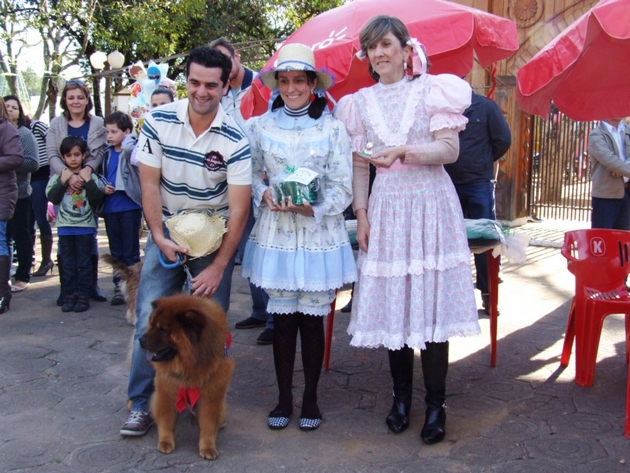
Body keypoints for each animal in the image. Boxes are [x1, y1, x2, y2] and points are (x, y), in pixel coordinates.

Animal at [139, 294, 234, 460]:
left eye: (163, 330)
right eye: (151, 325)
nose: (140, 340)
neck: (190, 365)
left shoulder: (211, 396)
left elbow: (208, 424)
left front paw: (208, 447)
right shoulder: (167, 391)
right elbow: (166, 419)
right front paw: (165, 442)